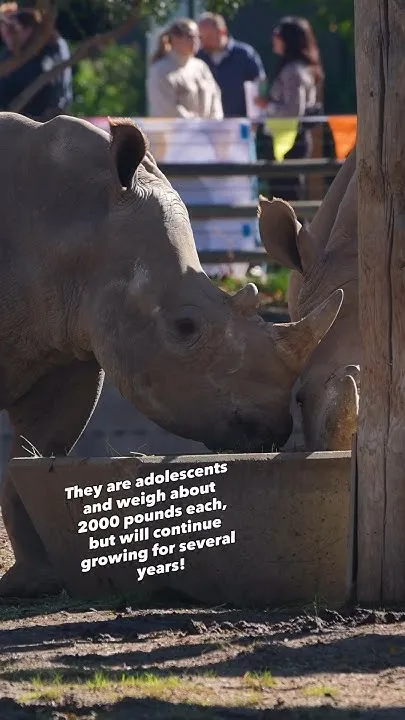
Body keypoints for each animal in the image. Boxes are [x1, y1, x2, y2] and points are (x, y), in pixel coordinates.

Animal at [0, 112, 343, 597]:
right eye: (185, 328)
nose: (272, 430)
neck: (72, 221)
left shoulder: (65, 343)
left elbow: (35, 452)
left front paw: (34, 583)